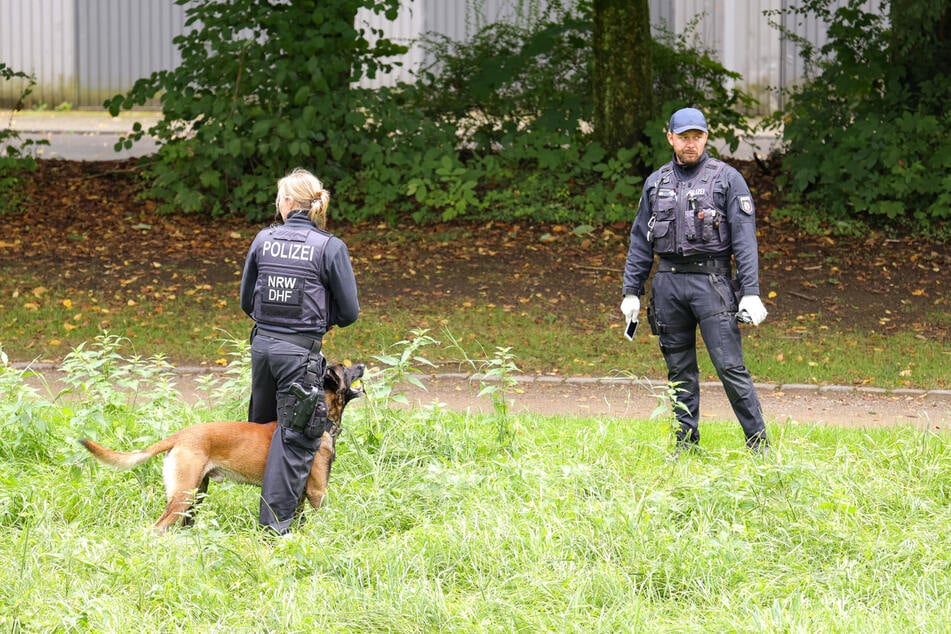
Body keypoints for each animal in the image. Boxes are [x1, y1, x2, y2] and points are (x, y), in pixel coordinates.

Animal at [80, 362, 364, 532]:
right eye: (346, 370)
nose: (362, 365)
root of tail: (181, 435)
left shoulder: (300, 496)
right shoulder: (317, 492)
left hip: (196, 494)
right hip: (184, 495)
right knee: (158, 527)